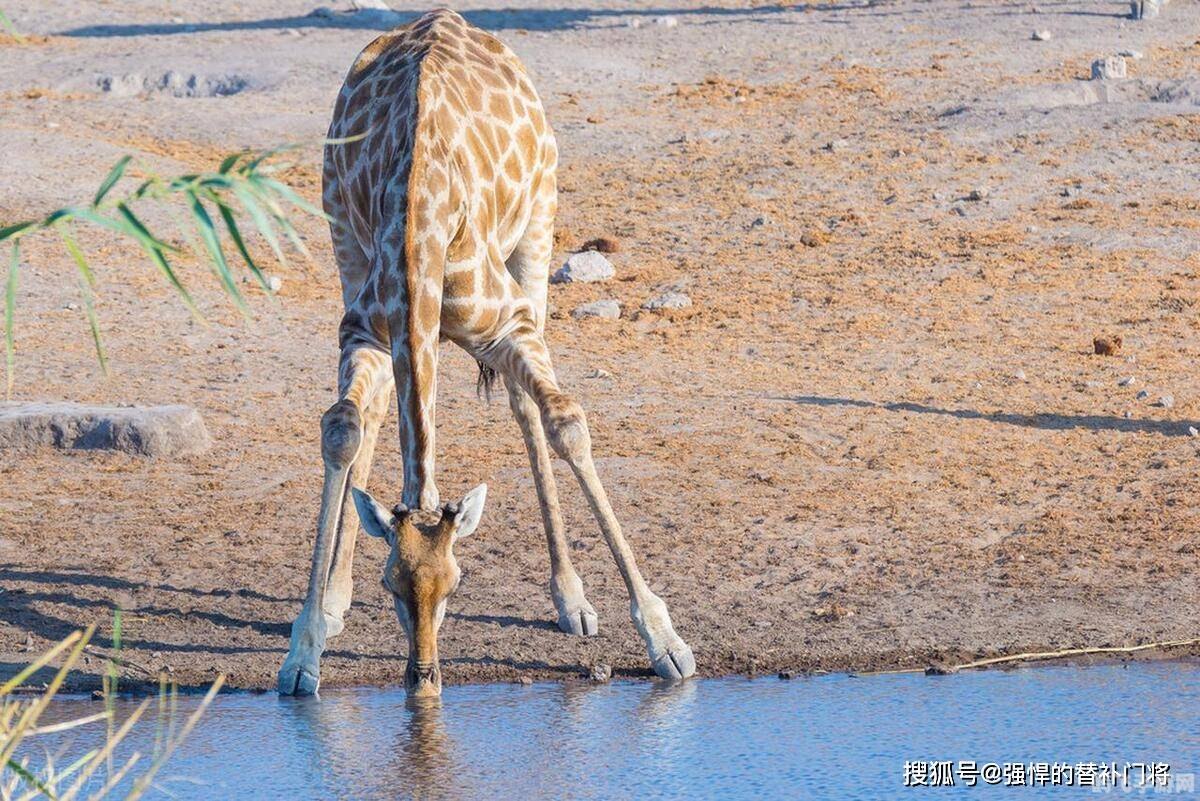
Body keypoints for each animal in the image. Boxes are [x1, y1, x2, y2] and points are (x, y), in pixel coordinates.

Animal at [277, 6, 700, 695]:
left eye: (456, 584)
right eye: (391, 586)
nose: (423, 678)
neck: (420, 229)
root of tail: (445, 16)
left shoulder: (510, 323)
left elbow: (566, 421)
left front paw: (666, 641)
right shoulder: (365, 328)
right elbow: (343, 428)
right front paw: (304, 649)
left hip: (537, 231)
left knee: (527, 408)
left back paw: (572, 599)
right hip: (342, 243)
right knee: (378, 411)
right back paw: (336, 599)